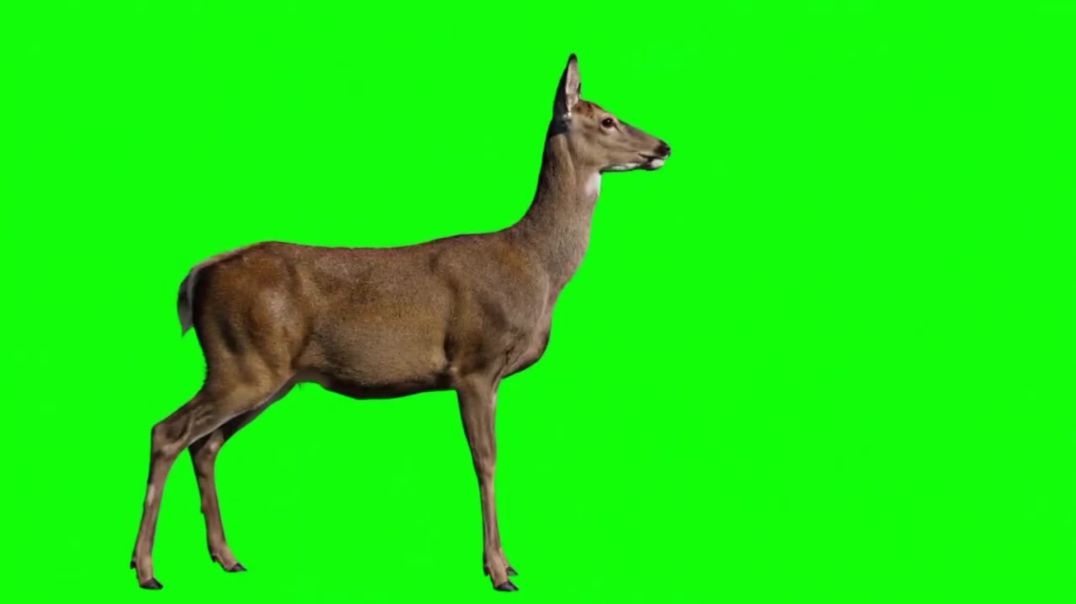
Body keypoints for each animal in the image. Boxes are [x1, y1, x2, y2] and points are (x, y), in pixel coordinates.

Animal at [131, 53, 671, 592]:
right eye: (607, 119)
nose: (663, 146)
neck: (536, 267)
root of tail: (195, 276)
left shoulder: (494, 376)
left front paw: (505, 563)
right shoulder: (475, 362)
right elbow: (486, 460)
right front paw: (499, 571)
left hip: (268, 375)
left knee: (205, 445)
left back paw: (226, 557)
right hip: (242, 362)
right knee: (168, 431)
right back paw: (146, 569)